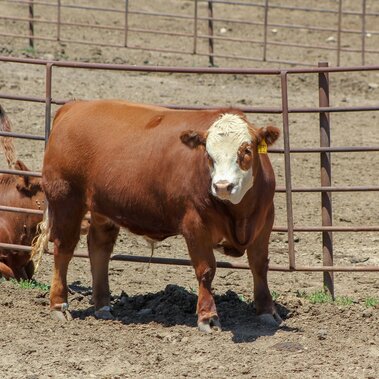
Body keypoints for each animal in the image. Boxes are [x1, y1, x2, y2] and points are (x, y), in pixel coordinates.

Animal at [35, 100, 282, 332]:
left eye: (246, 151)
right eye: (208, 155)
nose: (222, 186)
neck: (239, 213)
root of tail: (74, 106)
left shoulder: (266, 219)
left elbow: (259, 265)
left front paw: (267, 311)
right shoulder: (195, 224)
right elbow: (206, 270)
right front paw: (208, 317)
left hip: (101, 206)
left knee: (99, 248)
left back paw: (103, 306)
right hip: (66, 199)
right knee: (64, 249)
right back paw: (59, 305)